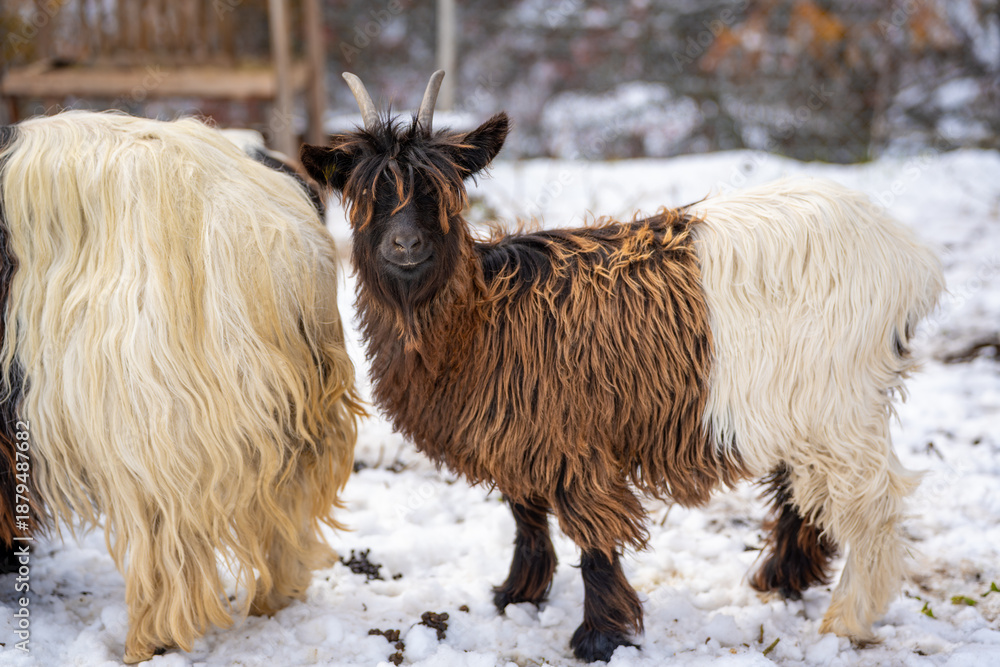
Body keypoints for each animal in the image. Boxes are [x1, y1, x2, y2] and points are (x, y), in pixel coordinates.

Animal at [0, 111, 363, 663]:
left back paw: (149, 640)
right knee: (286, 511)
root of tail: (278, 231)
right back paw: (276, 597)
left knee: (169, 545)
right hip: (285, 416)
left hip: (158, 426)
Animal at [301, 71, 944, 662]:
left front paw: (599, 637)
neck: (480, 316)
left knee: (872, 502)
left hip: (840, 402)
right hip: (800, 404)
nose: (405, 246)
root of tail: (908, 257)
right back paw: (781, 579)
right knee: (803, 489)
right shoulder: (519, 434)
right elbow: (525, 516)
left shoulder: (574, 440)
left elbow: (594, 539)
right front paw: (517, 595)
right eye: (365, 195)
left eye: (442, 190)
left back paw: (847, 618)